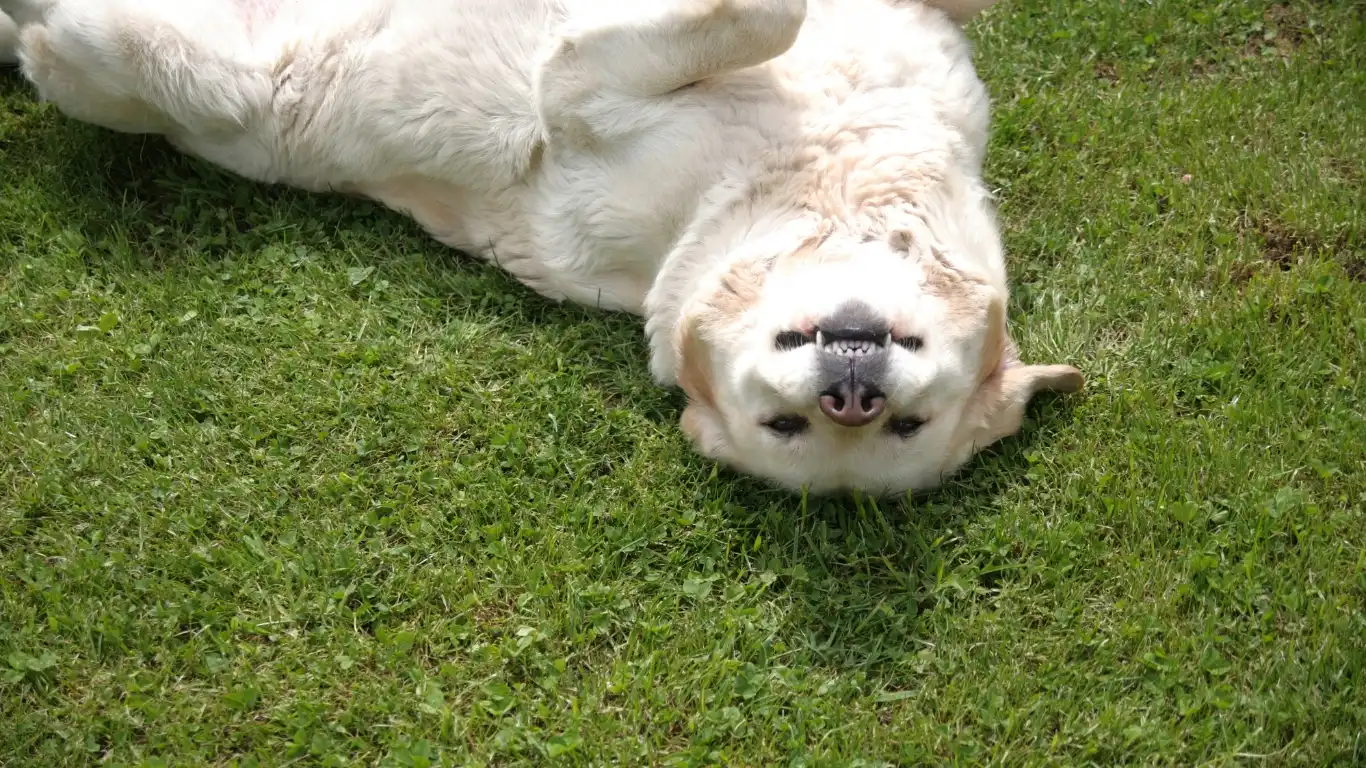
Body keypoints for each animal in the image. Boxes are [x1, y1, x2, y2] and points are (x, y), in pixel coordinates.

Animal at [2, 0, 1087, 489]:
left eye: (907, 429)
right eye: (789, 425)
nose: (850, 395)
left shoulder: (578, 97)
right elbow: (778, 18)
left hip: (151, 68)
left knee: (67, 34)